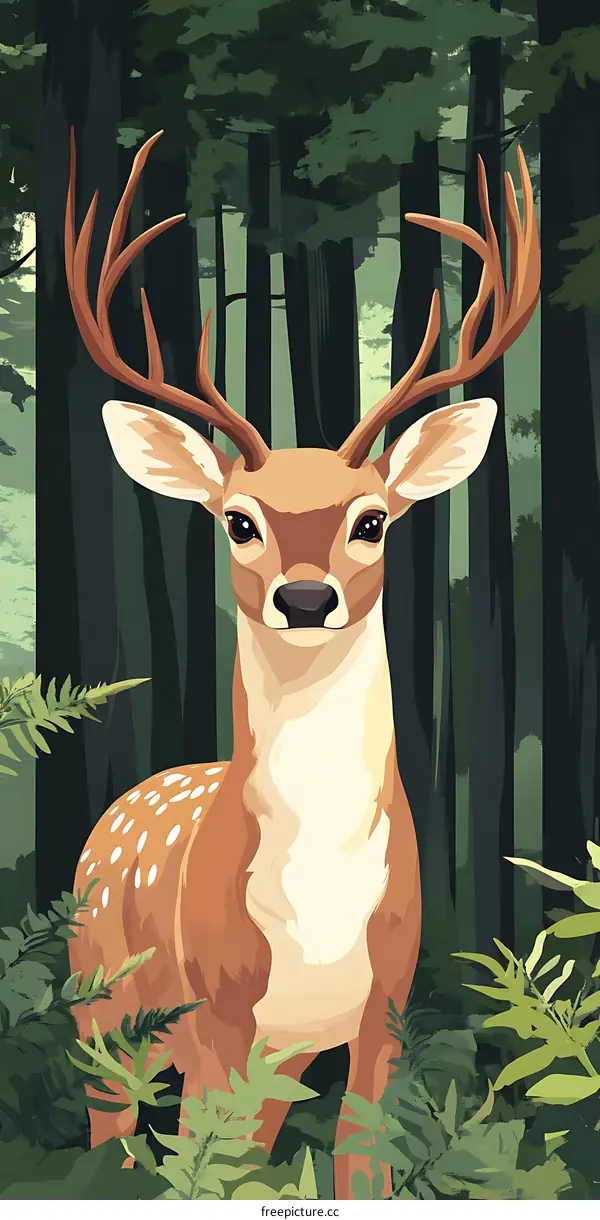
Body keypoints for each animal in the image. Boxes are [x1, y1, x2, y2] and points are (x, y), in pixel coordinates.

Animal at [65, 129, 540, 1199]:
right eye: (238, 521)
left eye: (373, 520)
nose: (308, 599)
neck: (314, 910)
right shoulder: (214, 1014)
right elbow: (208, 1178)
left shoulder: (383, 1011)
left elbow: (361, 1169)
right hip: (98, 998)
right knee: (111, 1129)